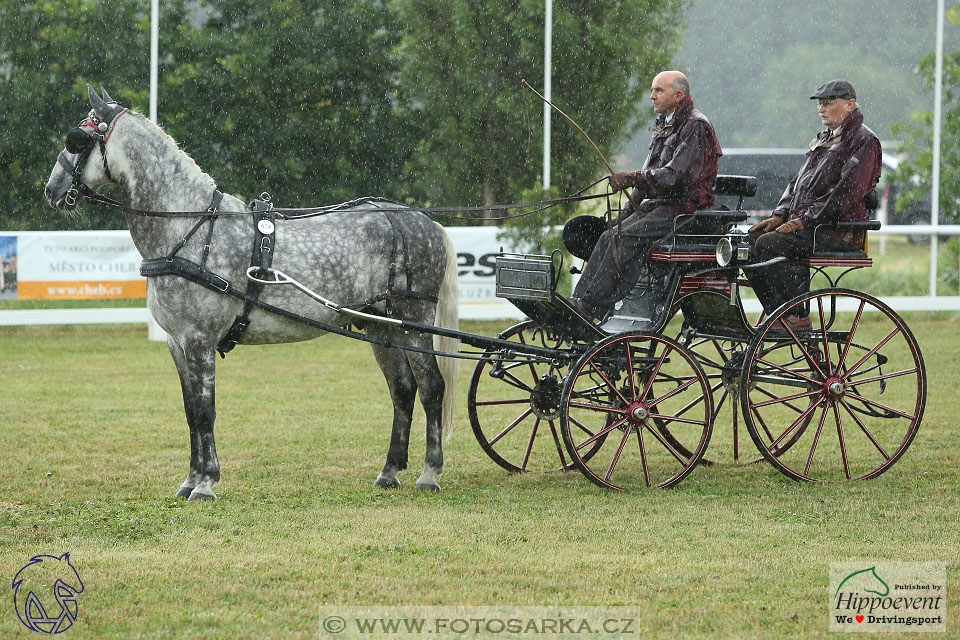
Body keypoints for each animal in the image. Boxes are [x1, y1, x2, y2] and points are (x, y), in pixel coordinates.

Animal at [47, 87, 460, 498]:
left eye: (77, 139)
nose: (51, 190)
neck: (189, 228)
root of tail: (419, 219)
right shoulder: (176, 342)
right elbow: (190, 411)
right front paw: (190, 480)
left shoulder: (199, 339)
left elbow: (205, 410)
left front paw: (206, 482)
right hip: (379, 325)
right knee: (402, 390)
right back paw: (389, 471)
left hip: (414, 322)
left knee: (431, 388)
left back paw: (430, 473)